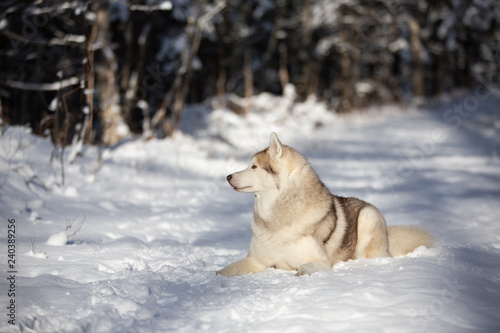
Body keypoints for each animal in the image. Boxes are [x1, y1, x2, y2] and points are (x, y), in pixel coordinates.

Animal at [216, 132, 434, 274]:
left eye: (253, 167)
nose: (227, 176)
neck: (277, 219)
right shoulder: (255, 261)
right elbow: (224, 271)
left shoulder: (319, 261)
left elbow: (305, 268)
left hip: (367, 218)